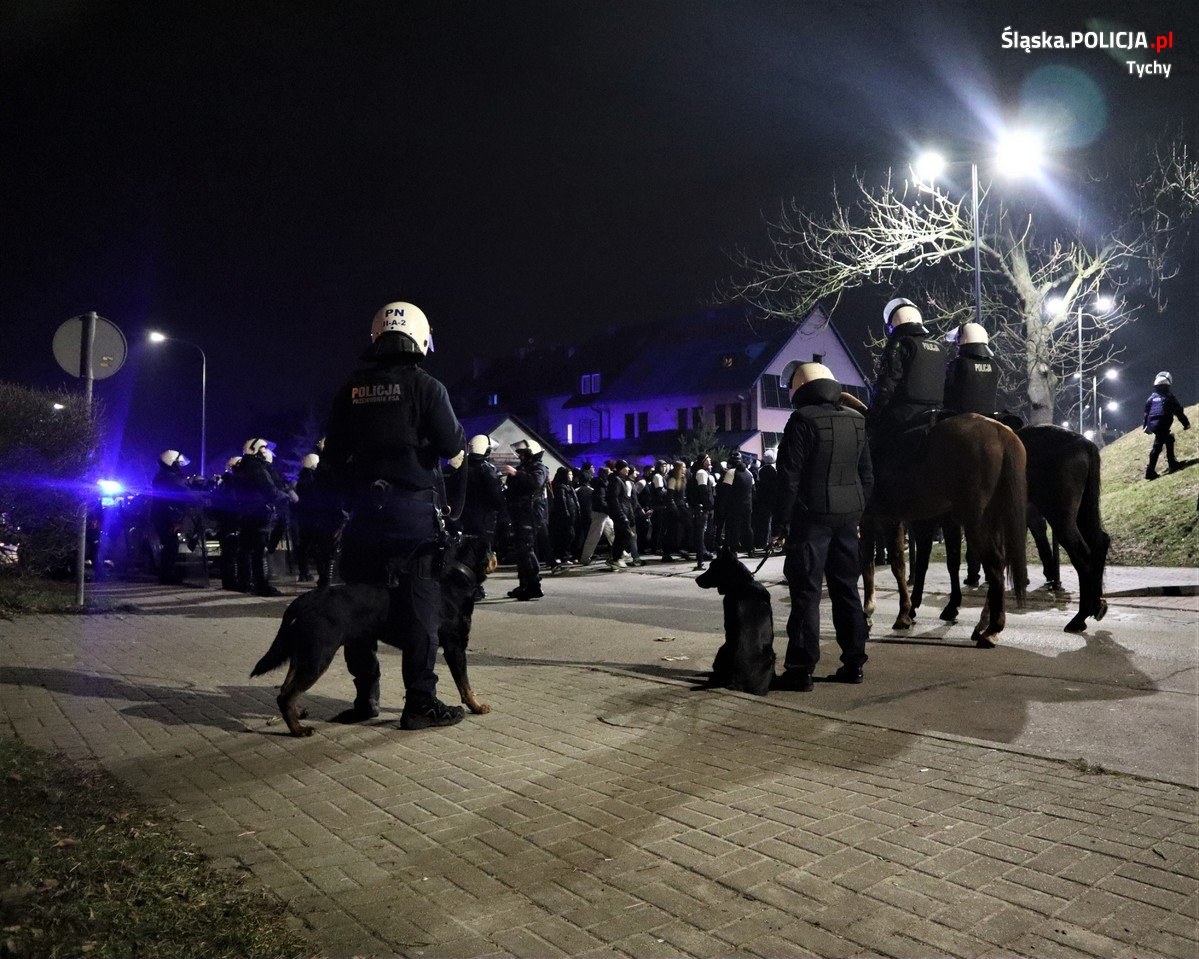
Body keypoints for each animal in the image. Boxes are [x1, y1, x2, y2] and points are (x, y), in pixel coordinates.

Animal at [250, 532, 493, 733]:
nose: (496, 553)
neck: (454, 580)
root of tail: (305, 599)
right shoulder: (455, 647)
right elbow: (465, 684)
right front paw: (477, 706)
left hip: (303, 653)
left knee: (285, 689)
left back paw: (298, 713)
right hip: (318, 657)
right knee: (286, 696)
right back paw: (298, 730)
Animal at [863, 414, 1031, 647]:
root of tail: (1000, 431)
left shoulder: (872, 518)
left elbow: (870, 565)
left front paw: (869, 614)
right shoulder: (895, 519)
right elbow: (900, 564)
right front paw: (904, 612)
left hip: (975, 522)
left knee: (995, 564)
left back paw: (991, 629)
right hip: (991, 519)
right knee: (999, 562)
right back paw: (984, 625)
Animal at [906, 424, 1112, 632]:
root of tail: (1084, 442)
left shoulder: (933, 523)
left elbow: (929, 563)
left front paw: (915, 606)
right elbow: (950, 562)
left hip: (1060, 515)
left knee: (1082, 554)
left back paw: (1080, 616)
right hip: (1080, 511)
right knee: (1100, 542)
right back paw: (1096, 604)